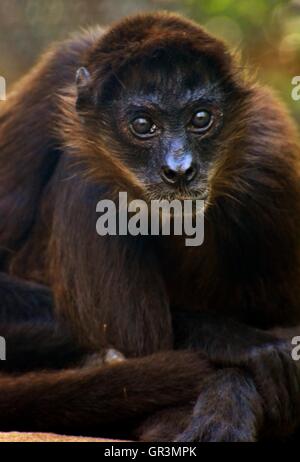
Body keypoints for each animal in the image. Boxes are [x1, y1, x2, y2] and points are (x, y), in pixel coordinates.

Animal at [0, 12, 300, 442]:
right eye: (143, 124)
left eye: (201, 119)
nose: (179, 169)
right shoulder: (54, 77)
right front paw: (232, 341)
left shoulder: (272, 160)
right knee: (90, 181)